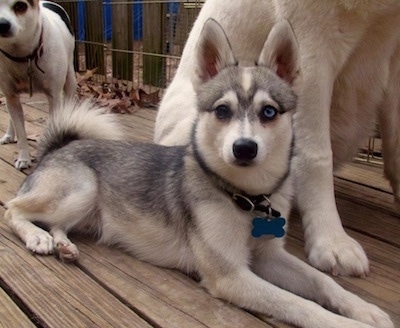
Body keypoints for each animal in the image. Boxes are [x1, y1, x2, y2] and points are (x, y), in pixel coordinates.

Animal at [0, 0, 76, 169]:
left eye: (20, 6)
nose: (1, 24)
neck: (24, 56)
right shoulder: (11, 96)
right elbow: (21, 133)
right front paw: (23, 158)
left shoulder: (54, 97)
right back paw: (9, 134)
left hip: (70, 78)